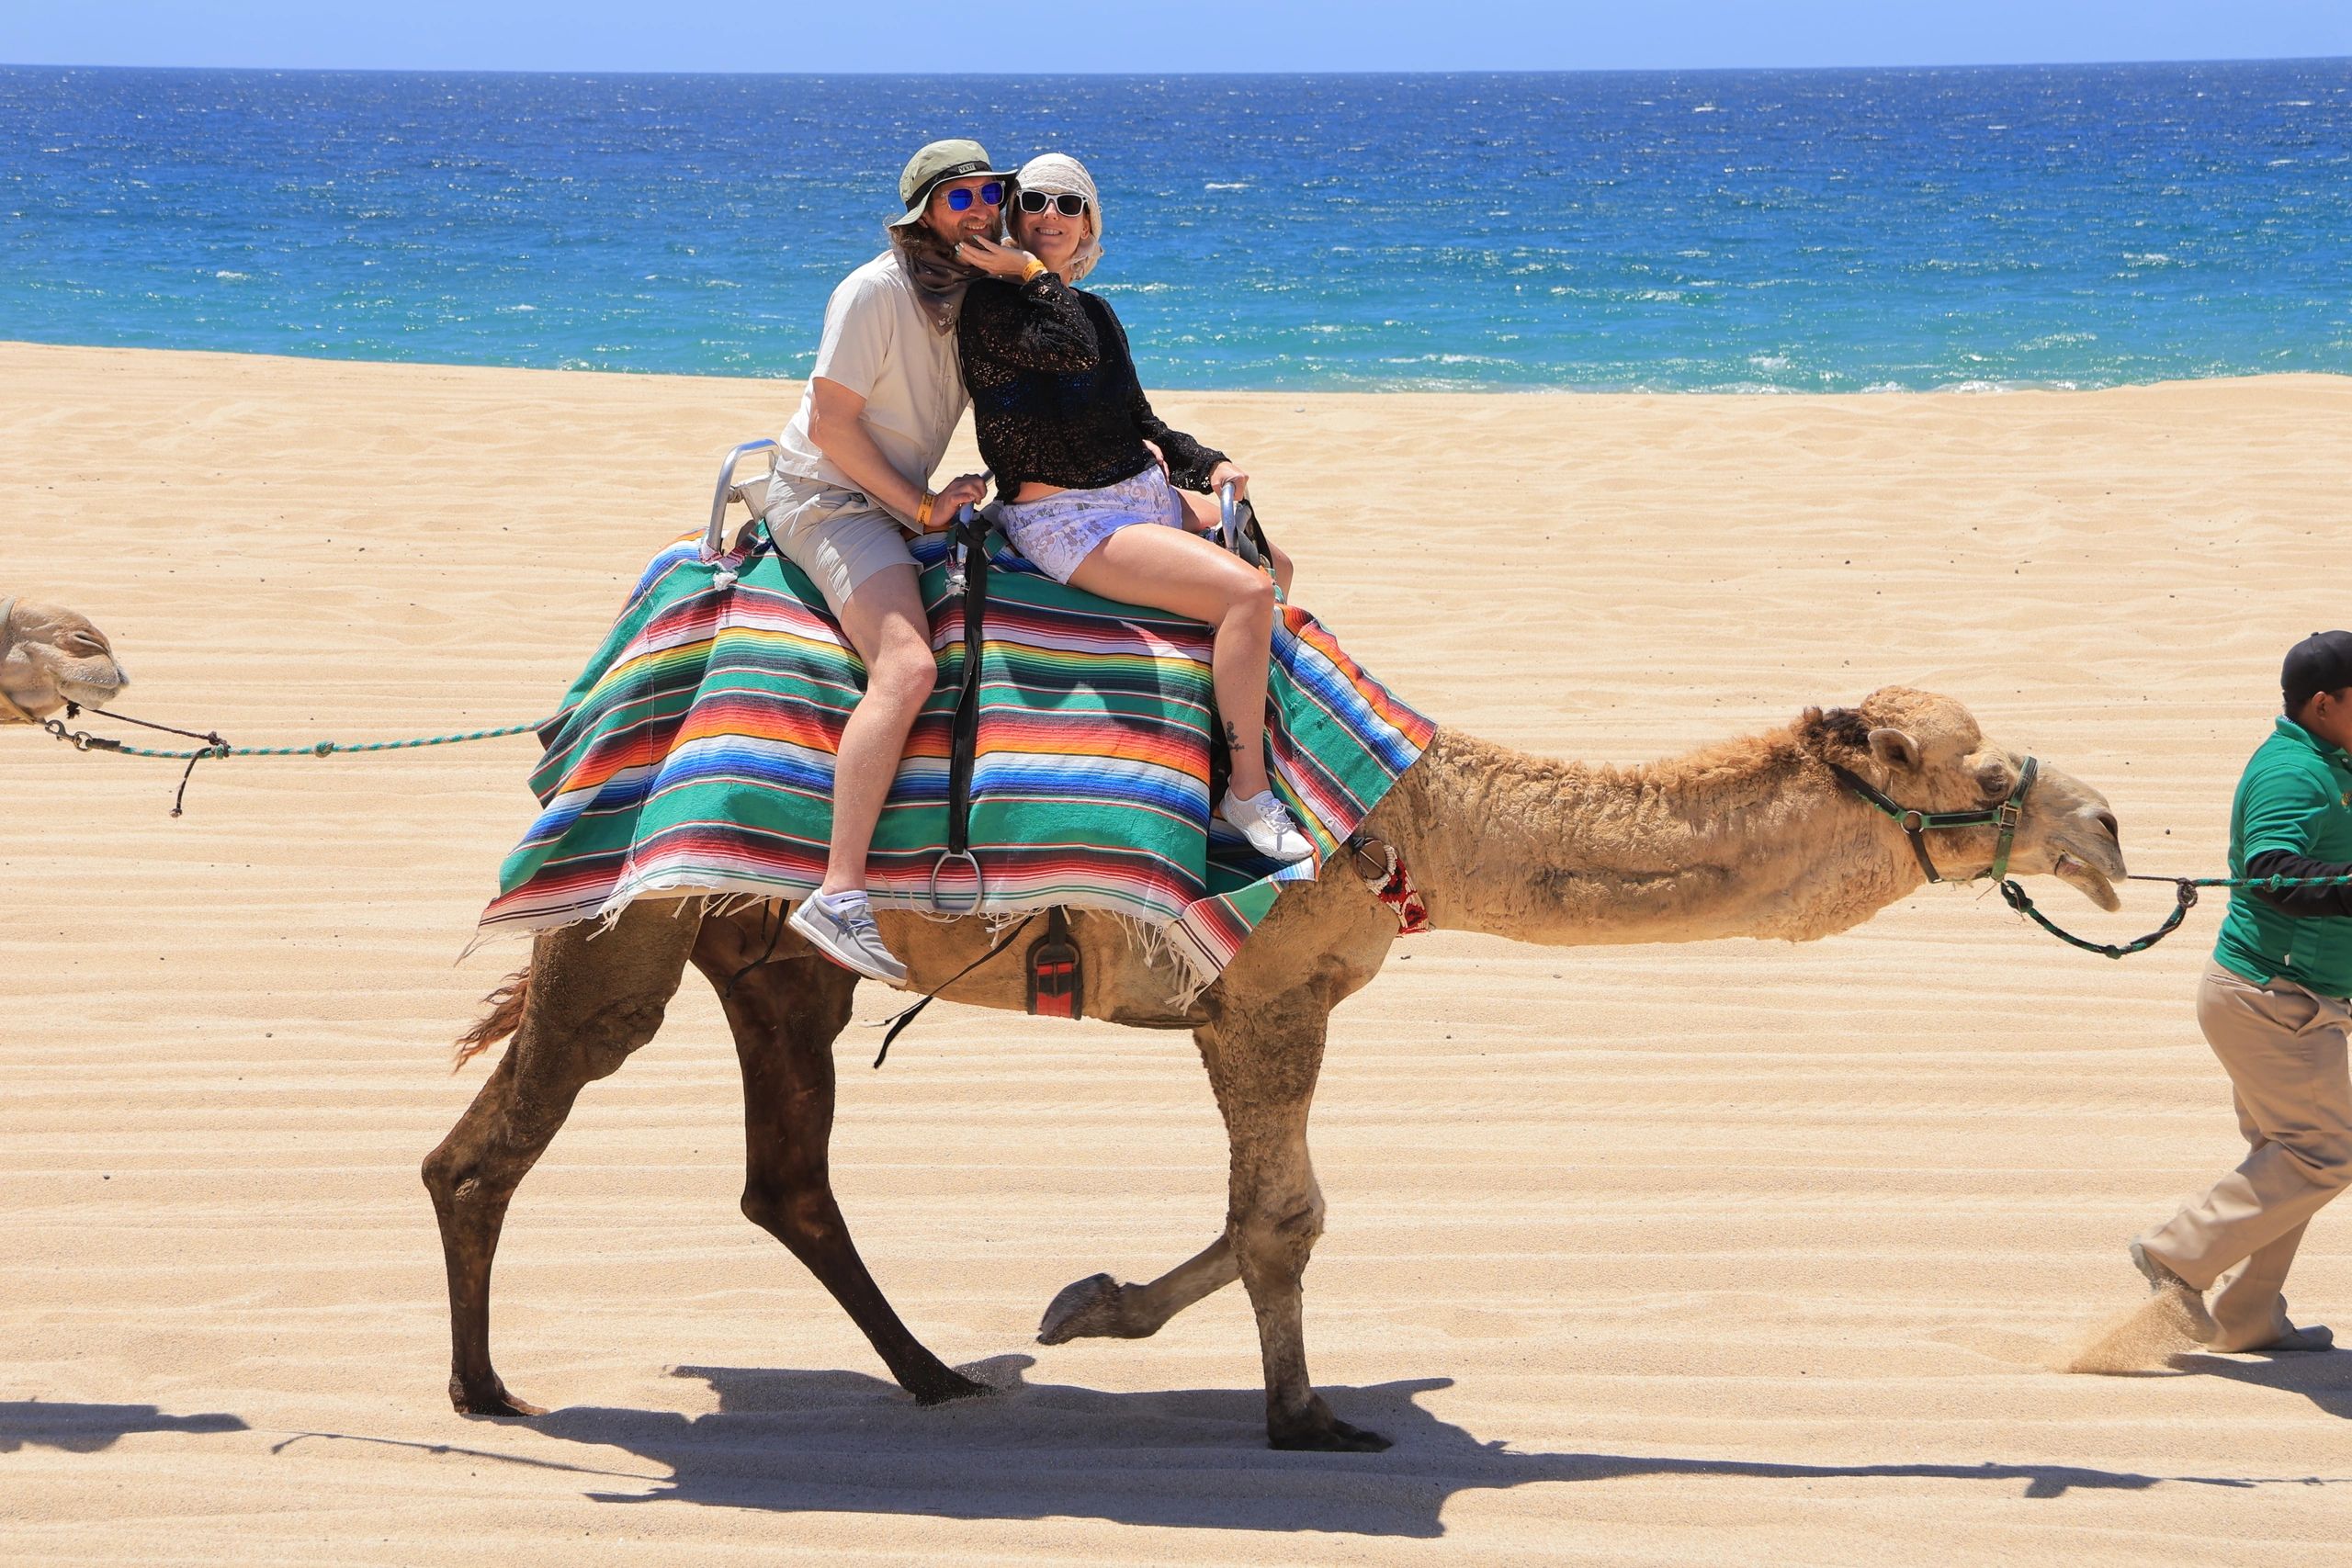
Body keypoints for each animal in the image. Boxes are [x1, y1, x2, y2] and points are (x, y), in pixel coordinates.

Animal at [427, 686, 2128, 1451]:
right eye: (1980, 770)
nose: (2109, 827)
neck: (1413, 818)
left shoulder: (1267, 1004)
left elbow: (1263, 1215)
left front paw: (1092, 1306)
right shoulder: (1263, 998)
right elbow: (1285, 1221)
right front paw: (1305, 1419)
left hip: (775, 960)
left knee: (786, 1175)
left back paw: (935, 1373)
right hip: (634, 918)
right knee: (494, 1141)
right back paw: (489, 1386)